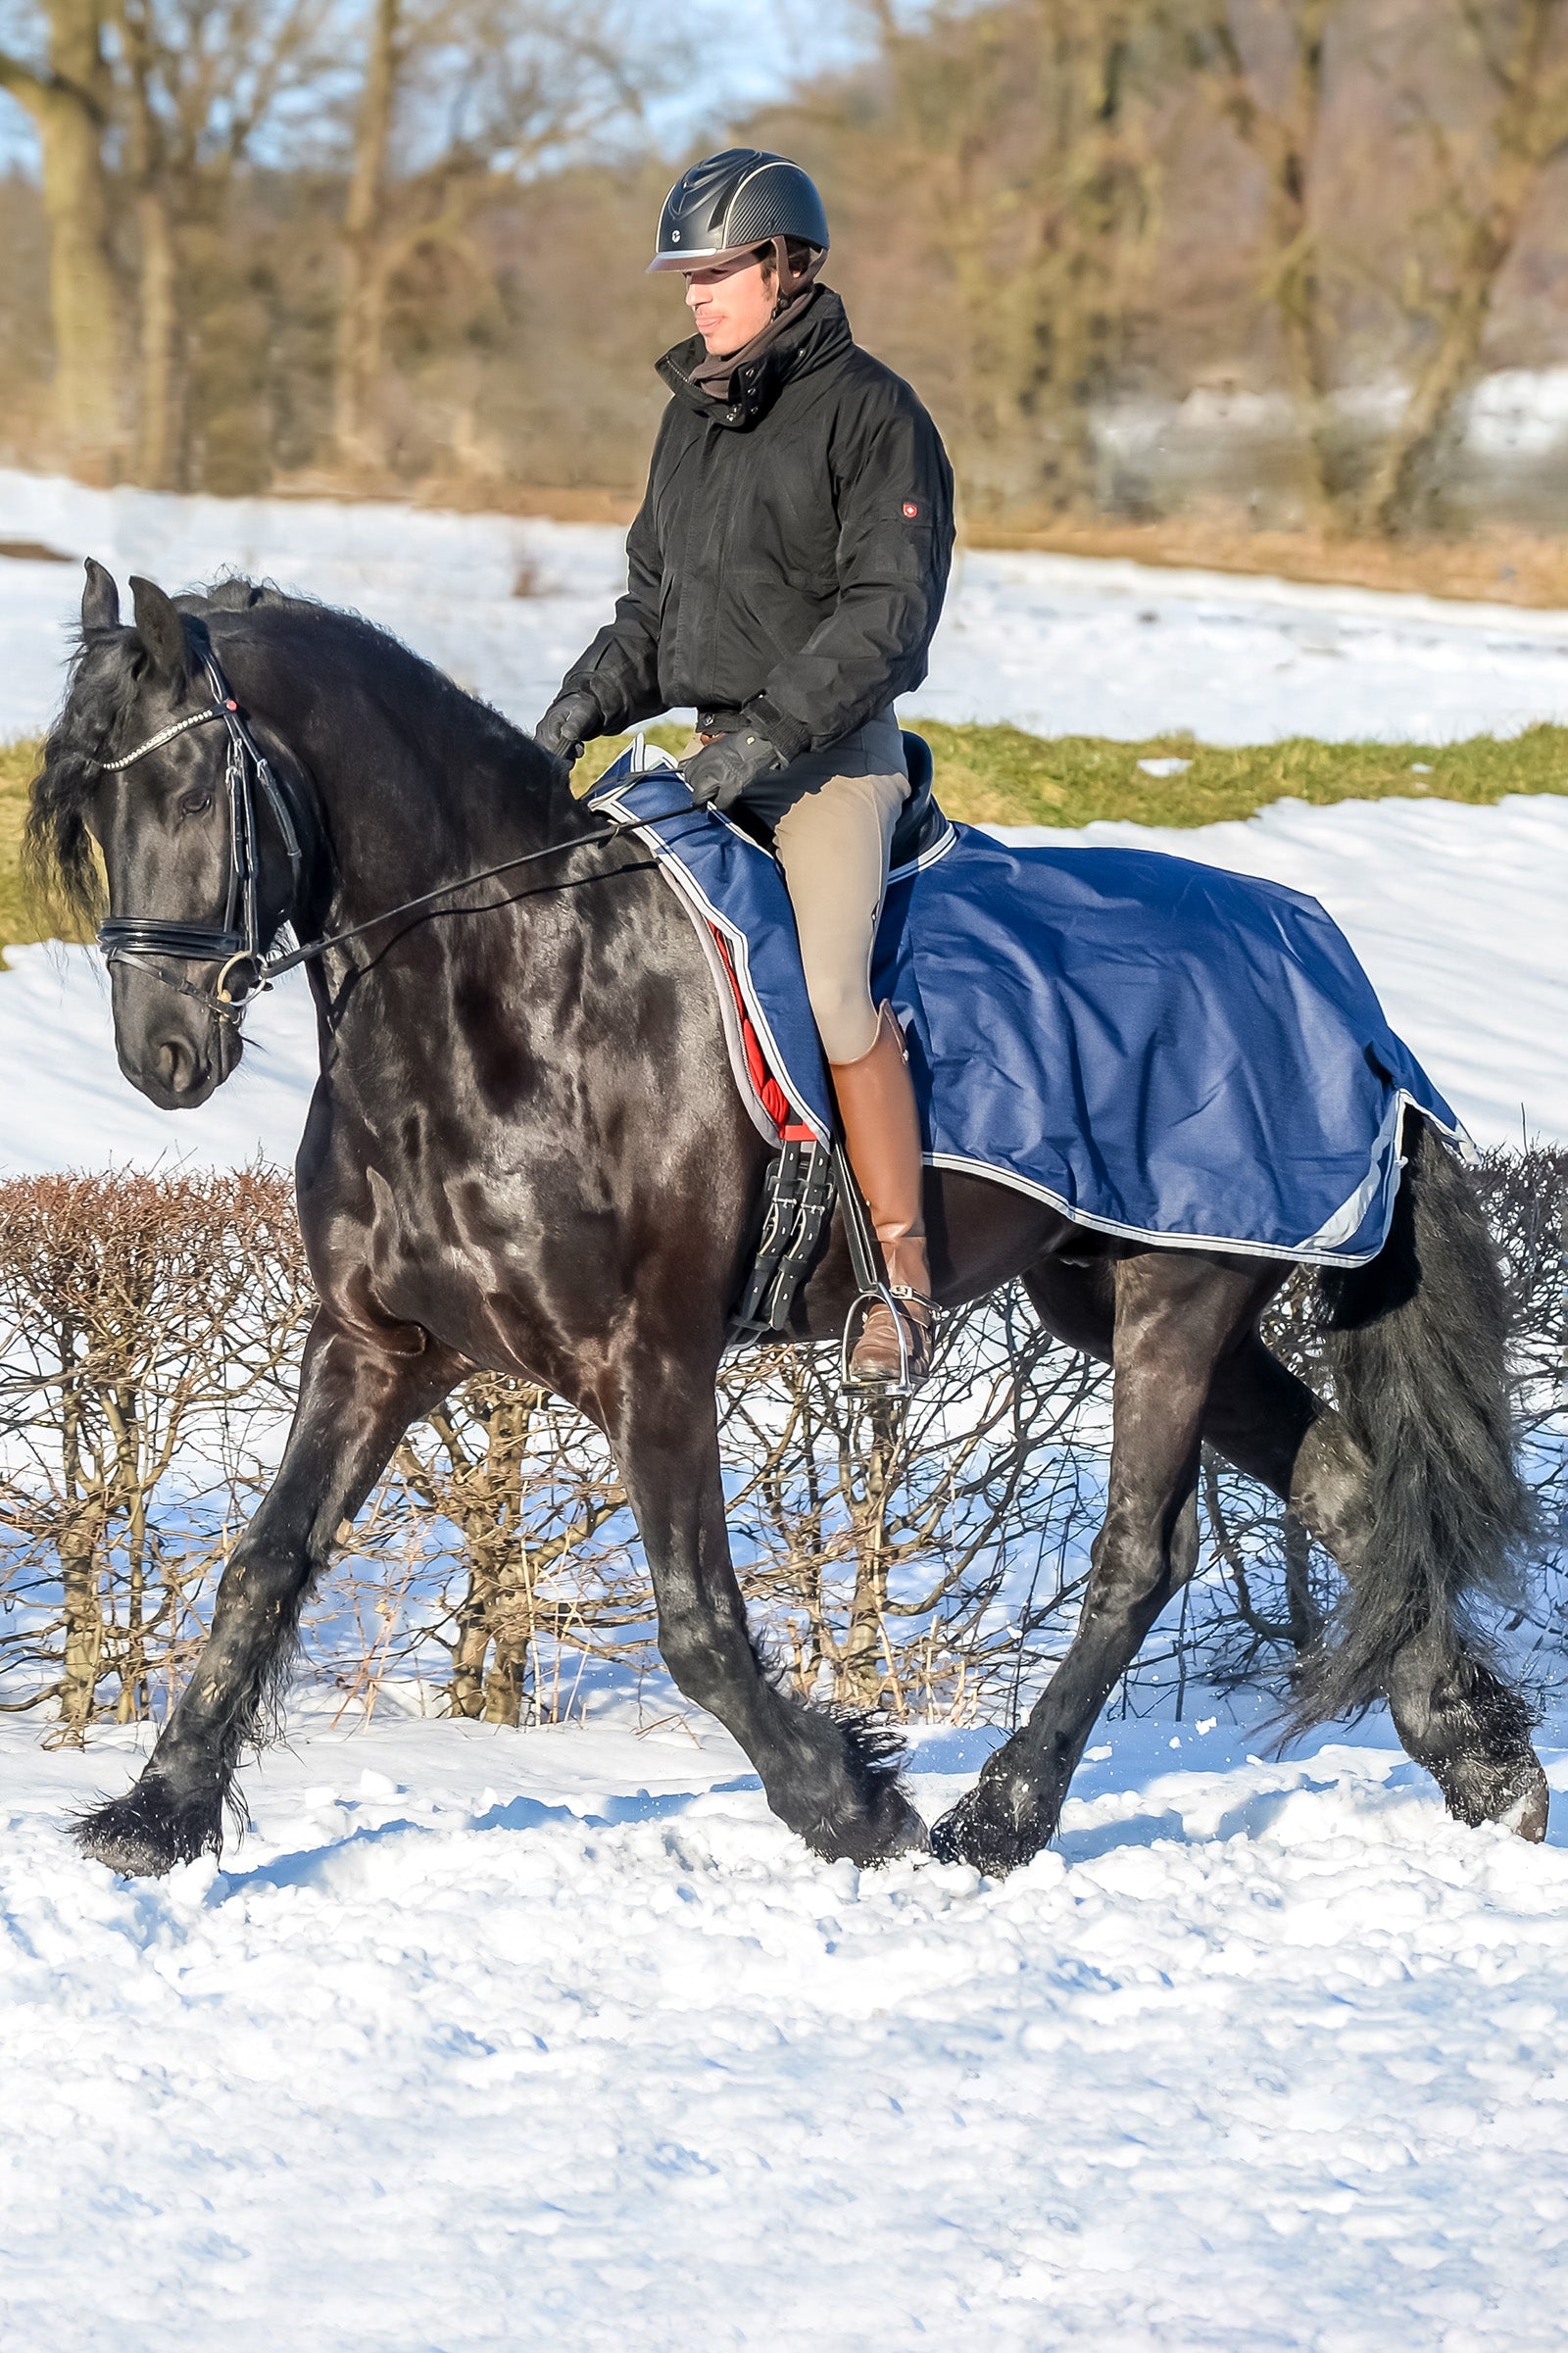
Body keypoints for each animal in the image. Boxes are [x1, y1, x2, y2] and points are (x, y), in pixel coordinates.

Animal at [28, 563, 1547, 1879]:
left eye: (186, 783)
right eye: (90, 813)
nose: (160, 1055)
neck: (502, 990)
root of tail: (1339, 981)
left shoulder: (651, 1361)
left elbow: (699, 1627)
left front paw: (849, 1802)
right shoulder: (375, 1345)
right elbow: (263, 1566)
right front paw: (154, 1816)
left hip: (1181, 1293)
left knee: (1141, 1553)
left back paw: (999, 1818)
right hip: (1119, 1295)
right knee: (1347, 1483)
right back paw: (1485, 1763)